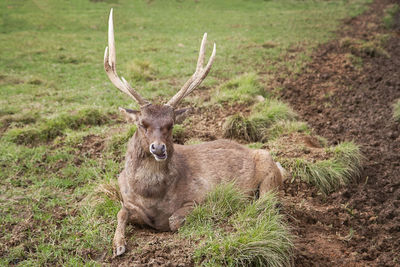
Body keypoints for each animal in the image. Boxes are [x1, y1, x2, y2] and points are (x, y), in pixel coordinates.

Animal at [103, 8, 284, 258]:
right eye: (142, 123)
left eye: (171, 124)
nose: (158, 148)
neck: (151, 197)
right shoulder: (127, 201)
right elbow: (120, 212)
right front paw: (118, 245)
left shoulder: (197, 197)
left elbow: (173, 221)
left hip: (269, 170)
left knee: (266, 202)